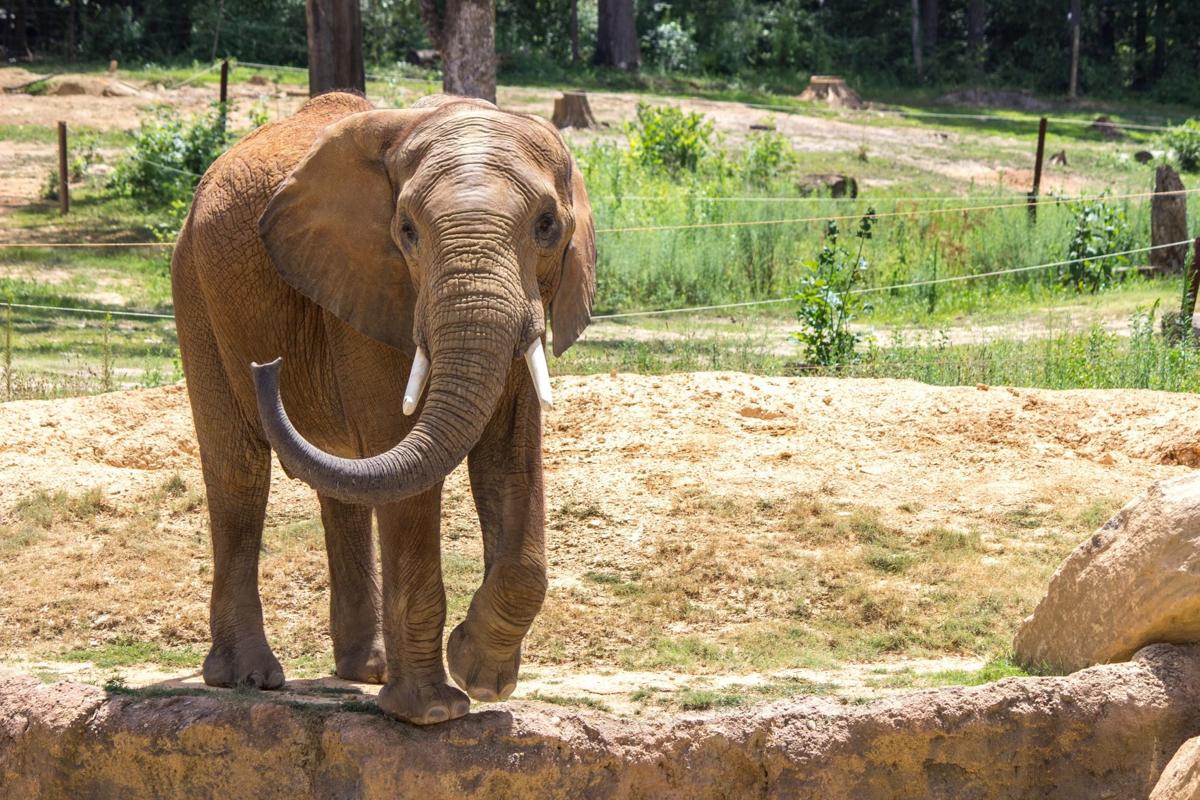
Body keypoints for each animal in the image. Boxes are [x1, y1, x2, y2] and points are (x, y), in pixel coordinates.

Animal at [170, 92, 595, 724]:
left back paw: (364, 671)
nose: (268, 367)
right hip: (194, 286)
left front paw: (480, 675)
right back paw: (248, 677)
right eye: (406, 230)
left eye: (548, 226)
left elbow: (511, 458)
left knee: (343, 477)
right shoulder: (369, 283)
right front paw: (433, 712)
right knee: (239, 472)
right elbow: (404, 458)